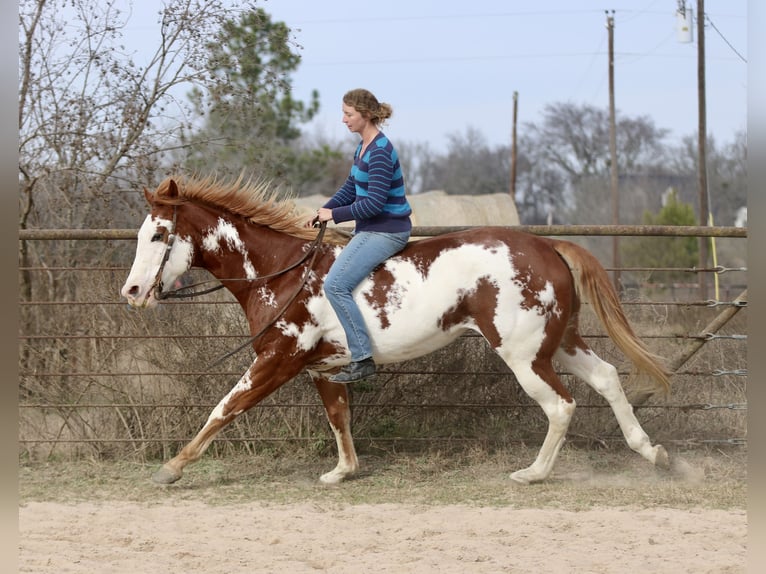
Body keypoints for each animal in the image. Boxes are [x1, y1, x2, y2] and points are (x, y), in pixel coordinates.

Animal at [121, 175, 671, 486]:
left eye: (160, 234)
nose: (131, 291)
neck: (280, 273)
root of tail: (548, 245)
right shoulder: (323, 368)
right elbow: (338, 418)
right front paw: (343, 472)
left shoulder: (276, 360)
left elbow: (224, 409)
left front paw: (171, 469)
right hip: (558, 343)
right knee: (607, 379)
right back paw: (654, 453)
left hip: (523, 354)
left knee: (561, 405)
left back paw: (533, 474)